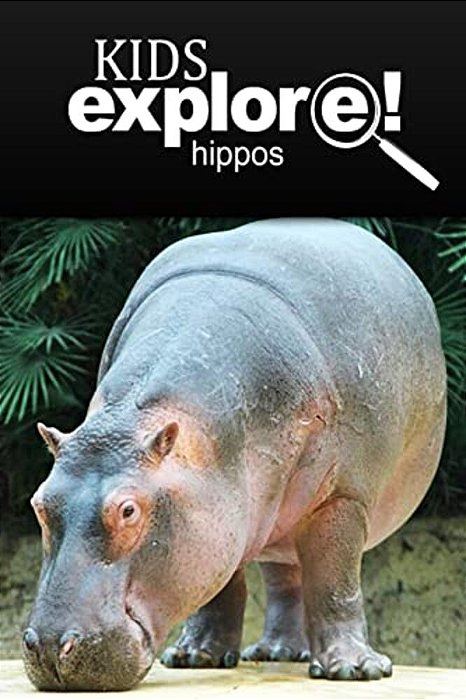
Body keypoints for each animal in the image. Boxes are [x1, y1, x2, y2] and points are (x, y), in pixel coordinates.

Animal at [23, 219, 446, 690]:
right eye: (39, 504)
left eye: (128, 510)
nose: (49, 646)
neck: (136, 418)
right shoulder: (219, 508)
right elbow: (223, 585)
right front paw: (195, 658)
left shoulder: (342, 496)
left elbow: (334, 581)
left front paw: (355, 670)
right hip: (274, 517)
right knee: (283, 576)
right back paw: (275, 651)